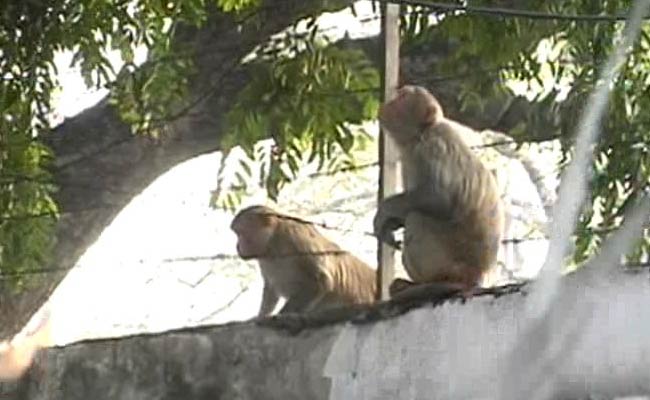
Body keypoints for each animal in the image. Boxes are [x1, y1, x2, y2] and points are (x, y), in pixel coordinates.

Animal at [231, 205, 377, 316]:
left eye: (240, 233)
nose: (237, 246)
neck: (272, 243)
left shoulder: (295, 238)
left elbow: (321, 281)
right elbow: (270, 289)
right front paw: (260, 316)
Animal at [373, 85, 505, 299]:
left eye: (404, 97)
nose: (388, 103)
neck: (420, 134)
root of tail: (478, 275)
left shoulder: (432, 146)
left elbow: (439, 198)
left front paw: (384, 210)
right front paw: (390, 223)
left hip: (454, 259)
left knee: (417, 218)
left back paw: (442, 282)